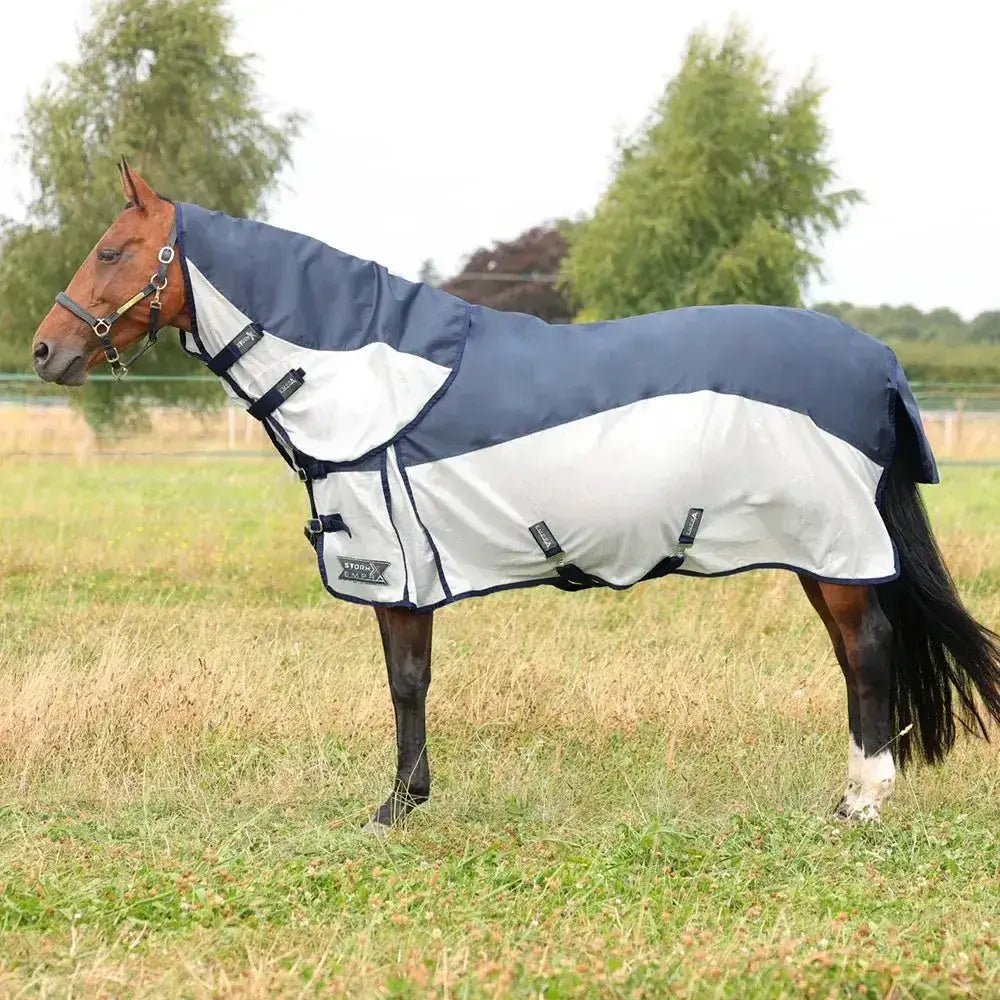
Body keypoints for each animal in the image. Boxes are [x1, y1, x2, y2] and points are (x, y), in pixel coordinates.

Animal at [30, 159, 1000, 831]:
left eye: (111, 251)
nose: (45, 352)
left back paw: (862, 803)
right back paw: (847, 796)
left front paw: (395, 807)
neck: (366, 377)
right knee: (852, 657)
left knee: (867, 653)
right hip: (821, 555)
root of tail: (878, 361)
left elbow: (406, 683)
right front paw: (408, 800)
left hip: (833, 551)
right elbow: (410, 683)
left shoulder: (397, 572)